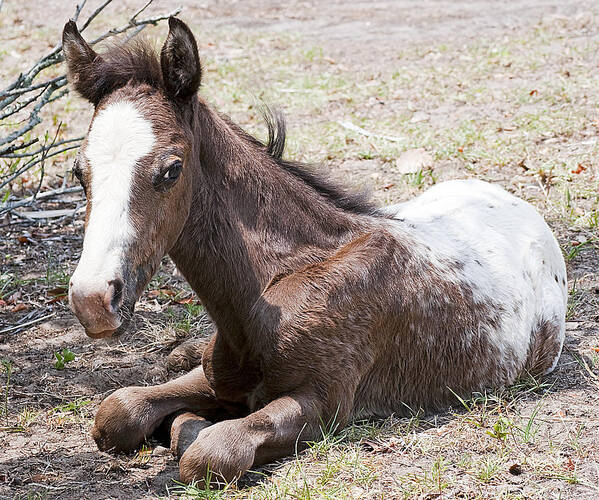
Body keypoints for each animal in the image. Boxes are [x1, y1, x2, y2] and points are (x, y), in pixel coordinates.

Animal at [61, 17, 568, 486]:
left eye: (171, 169)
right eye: (79, 172)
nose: (93, 300)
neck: (276, 280)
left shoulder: (324, 401)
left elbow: (208, 451)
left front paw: (191, 427)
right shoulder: (217, 375)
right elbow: (119, 410)